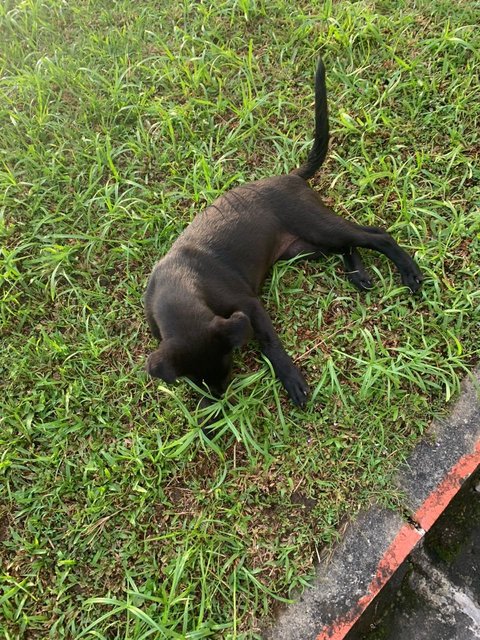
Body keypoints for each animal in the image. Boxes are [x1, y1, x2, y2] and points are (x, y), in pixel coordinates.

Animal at [144, 60, 422, 408]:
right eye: (195, 381)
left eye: (228, 367)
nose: (219, 404)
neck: (179, 290)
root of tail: (291, 176)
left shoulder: (250, 306)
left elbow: (270, 345)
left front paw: (291, 379)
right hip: (303, 247)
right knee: (351, 243)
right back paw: (358, 272)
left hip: (316, 226)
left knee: (377, 235)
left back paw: (409, 272)